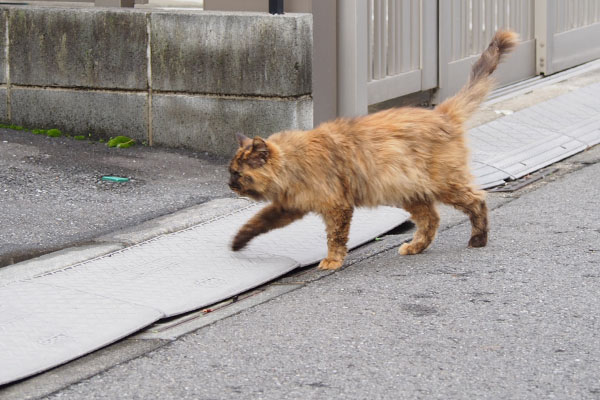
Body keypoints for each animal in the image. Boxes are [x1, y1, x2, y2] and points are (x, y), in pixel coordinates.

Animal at [227, 29, 516, 270]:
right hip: (410, 193)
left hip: (445, 184)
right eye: (230, 172)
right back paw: (414, 247)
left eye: (238, 174)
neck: (294, 163)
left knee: (477, 200)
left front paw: (332, 261)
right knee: (431, 220)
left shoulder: (336, 206)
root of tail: (441, 113)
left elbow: (335, 237)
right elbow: (257, 221)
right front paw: (236, 242)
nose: (229, 185)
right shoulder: (289, 206)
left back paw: (477, 239)